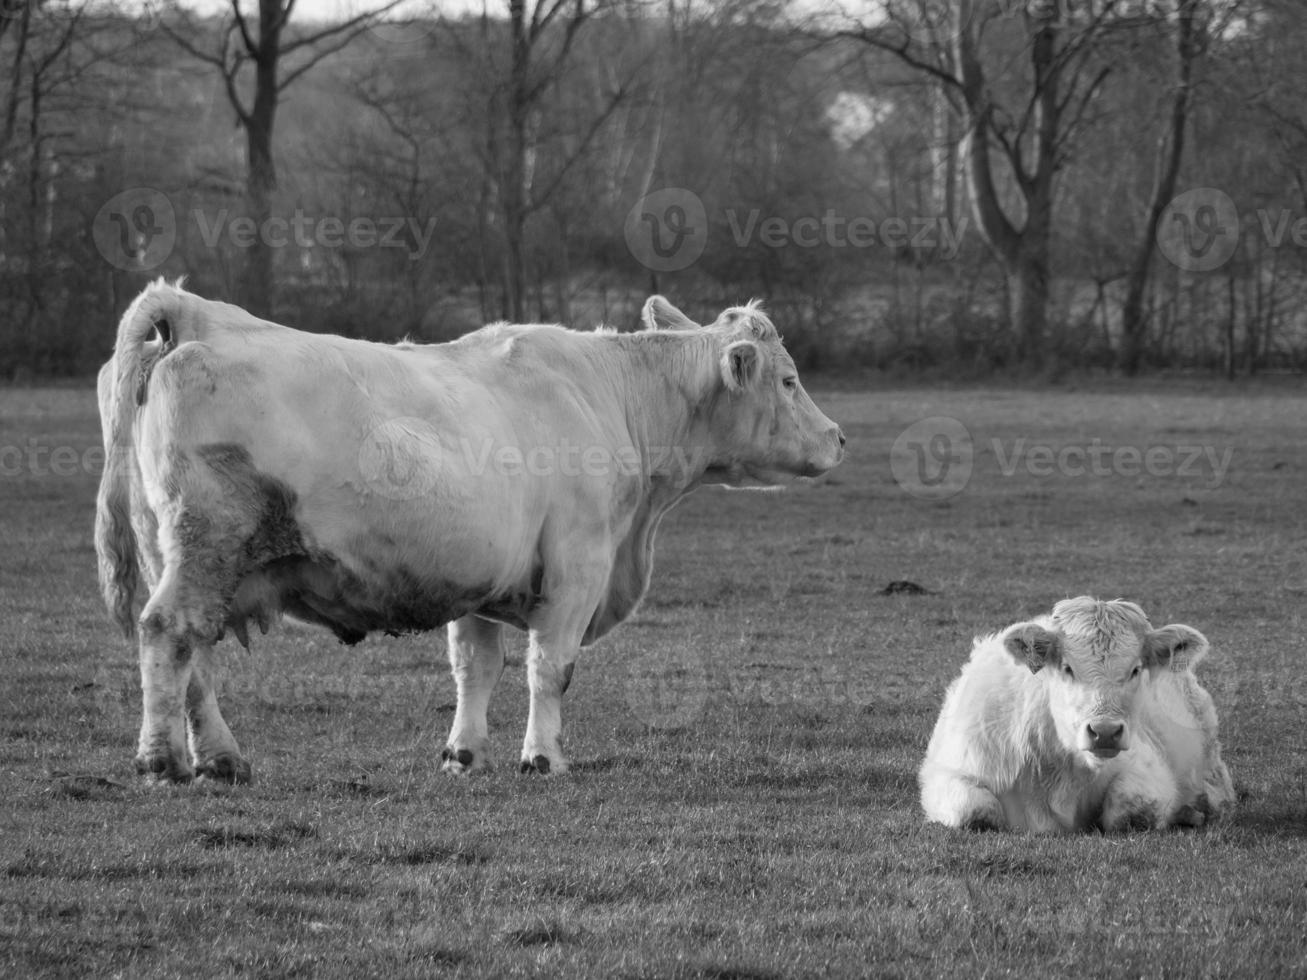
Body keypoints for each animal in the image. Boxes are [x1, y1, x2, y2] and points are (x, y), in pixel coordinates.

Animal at [94, 282, 846, 783]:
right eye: (788, 379)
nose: (839, 437)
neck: (611, 396)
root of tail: (195, 312)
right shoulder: (577, 566)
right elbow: (551, 667)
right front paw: (543, 756)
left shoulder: (480, 578)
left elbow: (474, 666)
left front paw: (465, 752)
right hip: (207, 545)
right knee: (168, 633)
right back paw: (161, 759)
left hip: (179, 552)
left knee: (194, 653)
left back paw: (221, 758)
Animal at [920, 598, 1233, 836]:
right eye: (1067, 668)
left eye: (1135, 669)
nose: (1105, 731)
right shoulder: (950, 772)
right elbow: (976, 811)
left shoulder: (1150, 769)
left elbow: (1132, 810)